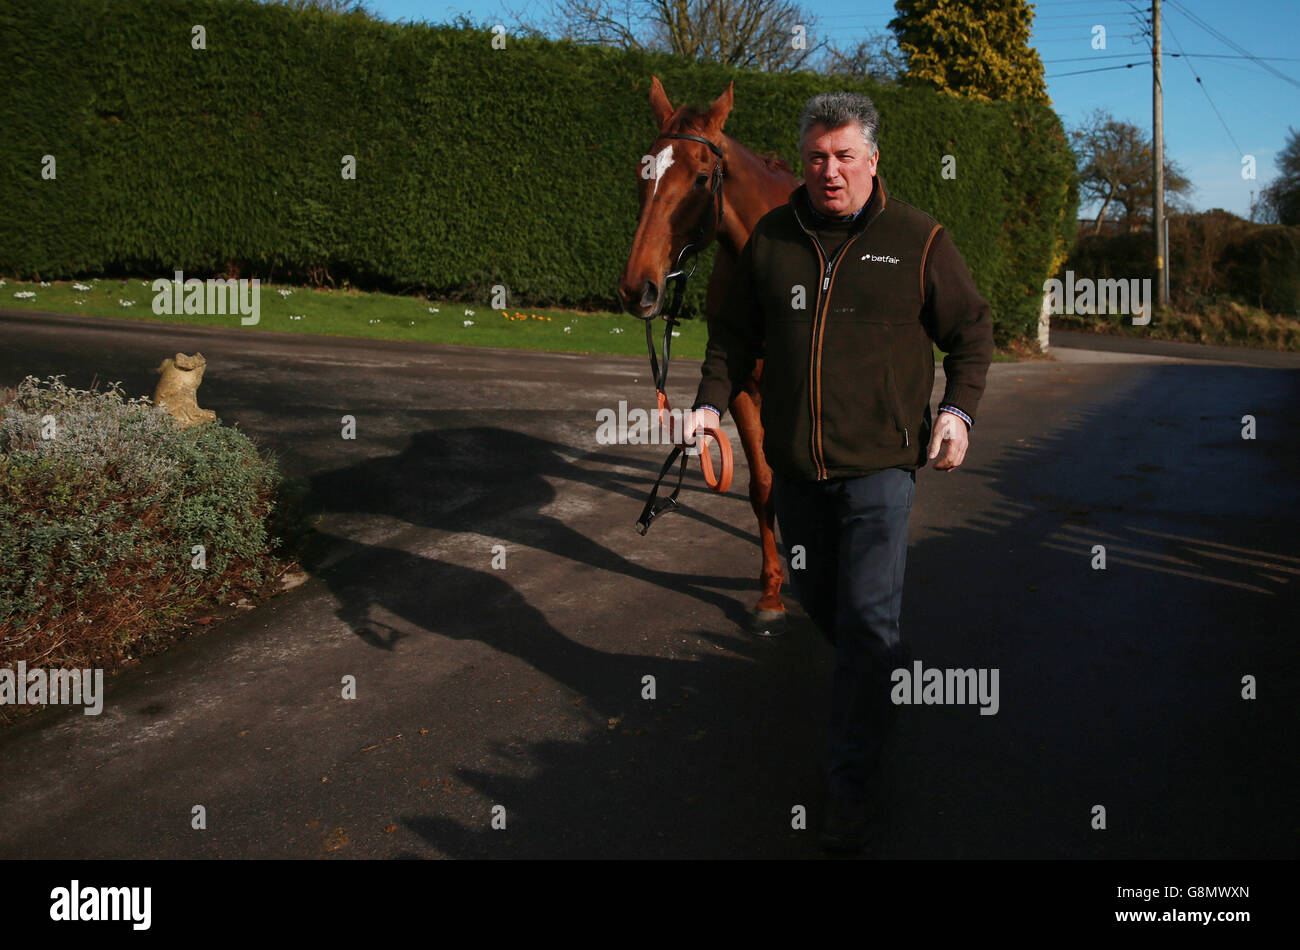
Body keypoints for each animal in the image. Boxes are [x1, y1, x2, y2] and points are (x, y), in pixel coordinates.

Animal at [613, 77, 795, 634]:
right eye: (643, 172)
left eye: (699, 177)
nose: (637, 288)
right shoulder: (741, 389)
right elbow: (764, 487)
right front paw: (771, 593)